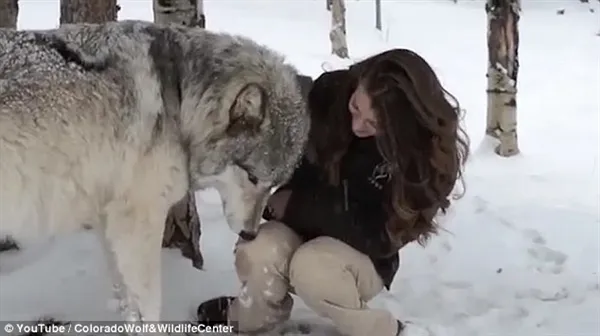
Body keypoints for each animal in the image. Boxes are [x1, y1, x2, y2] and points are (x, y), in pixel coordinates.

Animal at [0, 21, 310, 330]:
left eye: (274, 186)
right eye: (252, 177)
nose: (250, 234)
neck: (181, 99)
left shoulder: (110, 222)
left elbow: (127, 300)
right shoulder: (139, 222)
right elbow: (150, 305)